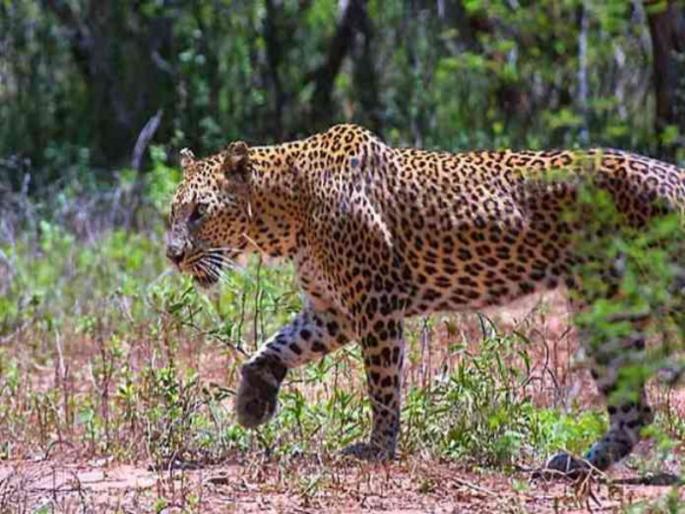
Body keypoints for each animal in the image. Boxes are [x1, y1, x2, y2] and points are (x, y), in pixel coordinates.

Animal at [166, 123, 685, 476]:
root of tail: (673, 175)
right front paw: (253, 401)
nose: (172, 255)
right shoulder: (334, 310)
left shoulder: (375, 304)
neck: (287, 210)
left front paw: (378, 448)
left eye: (199, 212)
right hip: (605, 305)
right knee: (633, 411)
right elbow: (276, 346)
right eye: (173, 211)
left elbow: (382, 387)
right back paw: (574, 464)